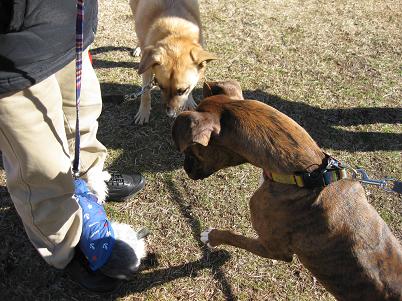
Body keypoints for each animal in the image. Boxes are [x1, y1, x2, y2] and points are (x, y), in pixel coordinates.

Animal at [172, 81, 402, 300]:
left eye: (192, 150)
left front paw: (212, 237)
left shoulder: (274, 249)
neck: (308, 175)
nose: (186, 169)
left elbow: (236, 238)